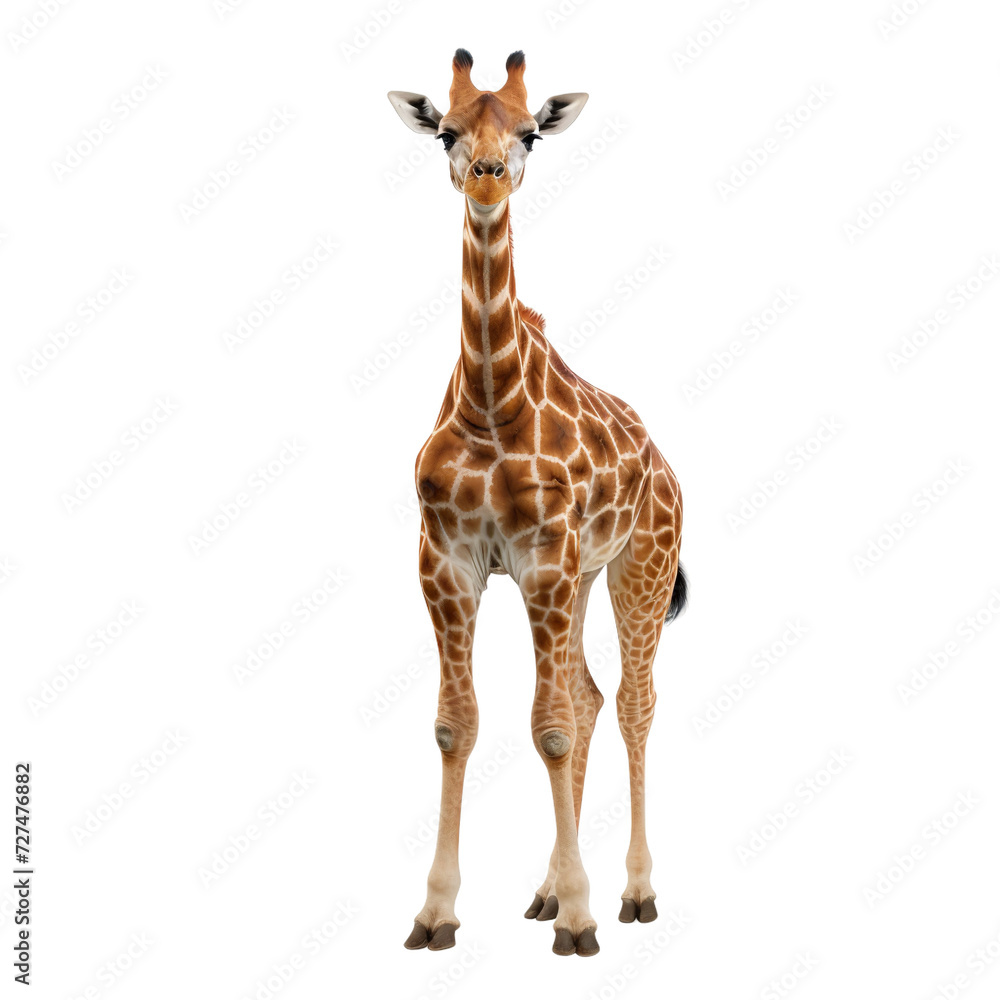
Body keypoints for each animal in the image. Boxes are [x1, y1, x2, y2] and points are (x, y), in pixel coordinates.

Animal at [388, 49, 686, 958]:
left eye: (530, 135)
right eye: (446, 132)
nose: (488, 176)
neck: (493, 404)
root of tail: (666, 468)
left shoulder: (545, 560)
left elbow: (547, 725)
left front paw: (586, 919)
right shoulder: (448, 561)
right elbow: (458, 723)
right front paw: (436, 913)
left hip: (637, 568)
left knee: (630, 702)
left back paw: (633, 893)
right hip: (585, 576)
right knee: (589, 695)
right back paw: (548, 891)